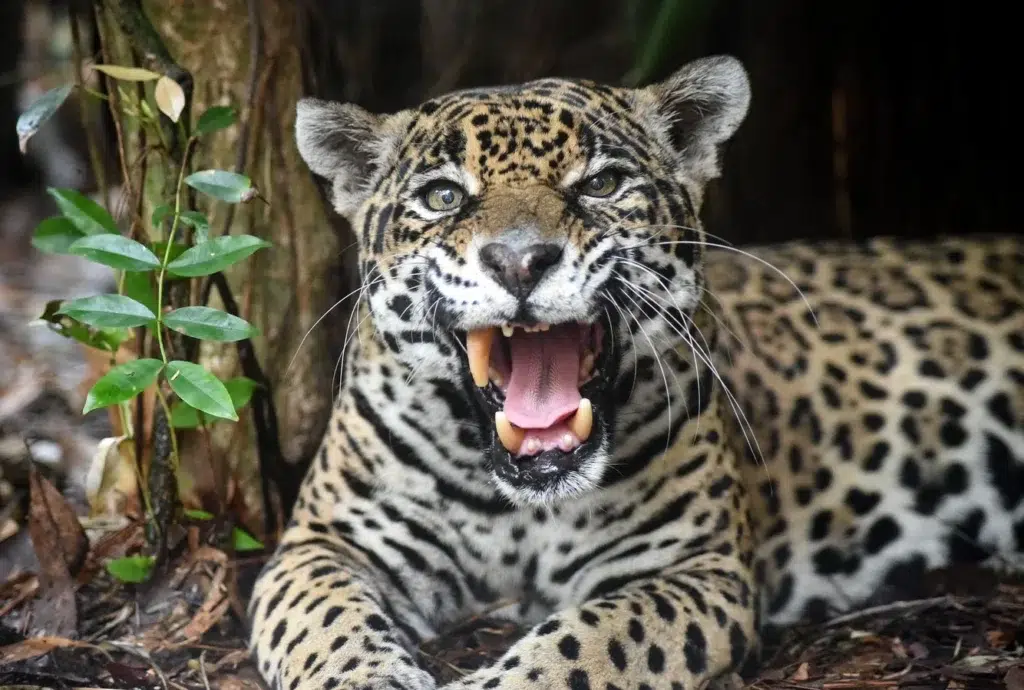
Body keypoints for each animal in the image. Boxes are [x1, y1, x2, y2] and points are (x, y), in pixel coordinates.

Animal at [247, 54, 1024, 690]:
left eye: (603, 184)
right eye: (443, 197)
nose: (520, 261)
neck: (522, 510)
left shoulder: (695, 569)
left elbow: (588, 641)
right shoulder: (320, 545)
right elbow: (326, 625)